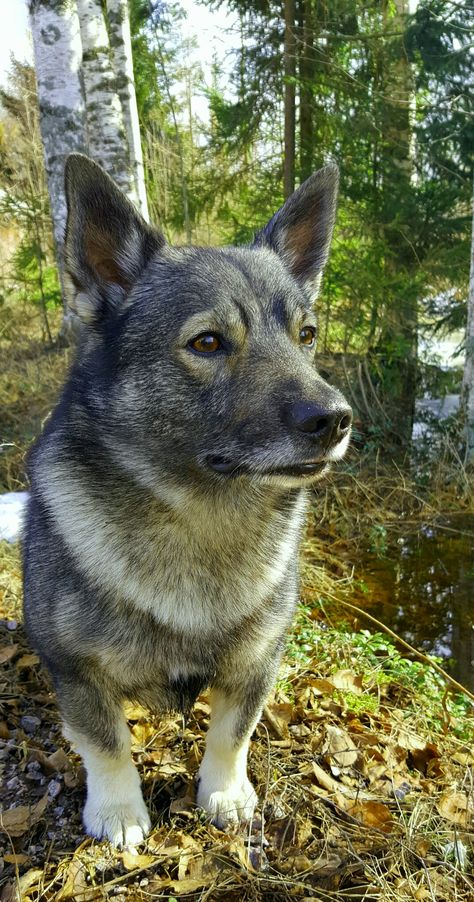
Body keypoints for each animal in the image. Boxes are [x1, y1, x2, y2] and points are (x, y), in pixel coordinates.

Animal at [22, 155, 350, 848]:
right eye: (207, 343)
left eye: (306, 334)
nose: (336, 419)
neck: (204, 518)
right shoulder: (78, 673)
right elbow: (107, 744)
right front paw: (119, 810)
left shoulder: (255, 666)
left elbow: (232, 734)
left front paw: (223, 793)